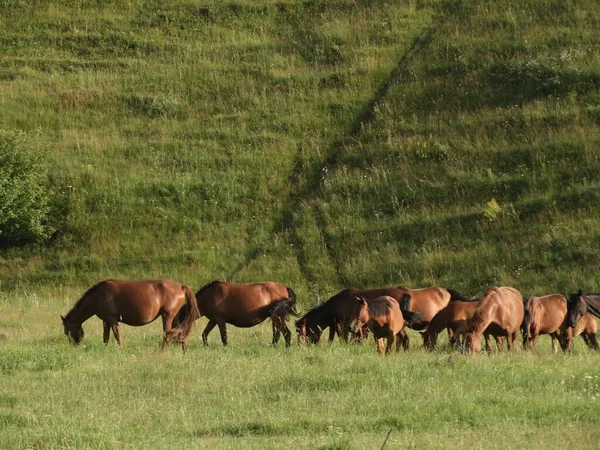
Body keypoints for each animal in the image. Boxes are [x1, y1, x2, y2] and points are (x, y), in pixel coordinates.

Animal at [60, 278, 198, 352]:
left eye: (67, 331)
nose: (74, 345)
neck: (99, 295)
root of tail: (180, 287)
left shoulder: (112, 320)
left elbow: (117, 337)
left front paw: (121, 350)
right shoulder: (106, 321)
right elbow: (106, 337)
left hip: (167, 316)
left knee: (167, 335)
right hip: (174, 317)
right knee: (180, 333)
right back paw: (184, 352)